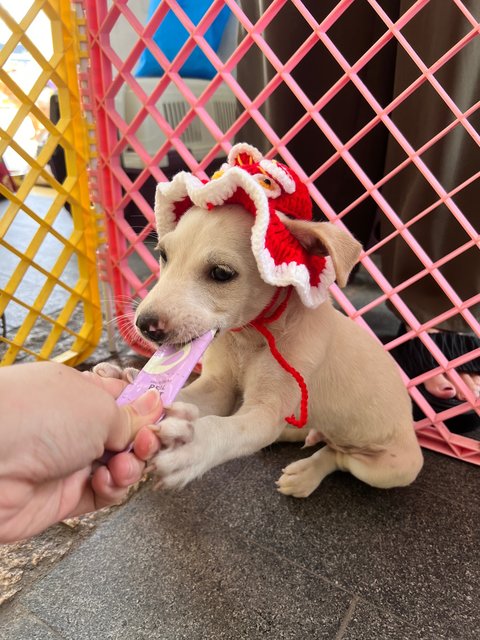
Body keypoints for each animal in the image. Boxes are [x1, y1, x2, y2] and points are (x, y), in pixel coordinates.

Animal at [95, 144, 422, 496]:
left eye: (221, 273)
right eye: (163, 255)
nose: (144, 325)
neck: (248, 337)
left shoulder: (265, 412)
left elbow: (226, 429)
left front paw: (193, 445)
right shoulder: (218, 387)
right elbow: (182, 398)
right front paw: (121, 385)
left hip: (391, 467)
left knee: (339, 456)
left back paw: (306, 473)